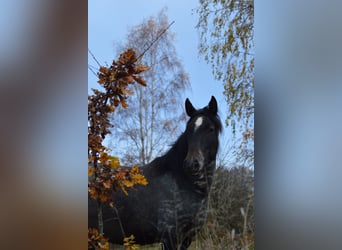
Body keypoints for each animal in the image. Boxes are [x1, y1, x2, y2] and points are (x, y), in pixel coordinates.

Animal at [89, 96, 222, 250]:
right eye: (188, 130)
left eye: (210, 129)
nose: (191, 163)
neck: (184, 184)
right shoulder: (169, 238)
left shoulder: (187, 239)